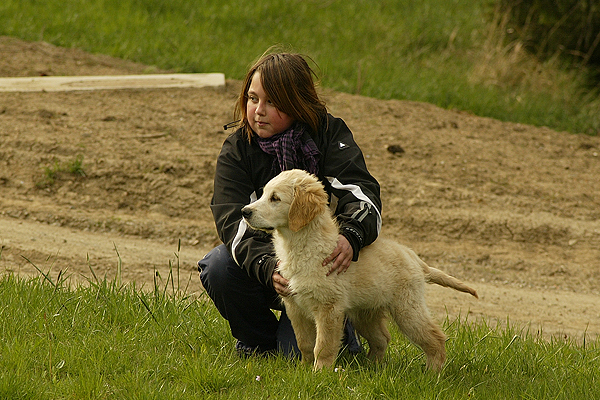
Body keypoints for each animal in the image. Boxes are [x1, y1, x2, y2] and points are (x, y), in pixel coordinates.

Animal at [242, 169, 478, 371]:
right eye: (263, 194)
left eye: (275, 198)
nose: (244, 212)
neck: (300, 244)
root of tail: (415, 258)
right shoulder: (295, 307)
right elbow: (304, 344)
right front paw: (303, 370)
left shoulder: (329, 308)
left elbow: (323, 346)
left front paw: (319, 374)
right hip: (365, 313)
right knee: (382, 338)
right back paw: (373, 368)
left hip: (407, 309)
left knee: (435, 338)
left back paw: (432, 374)